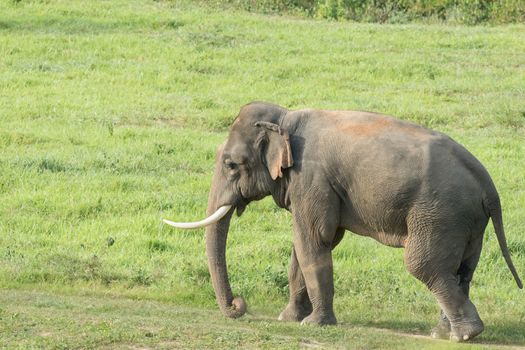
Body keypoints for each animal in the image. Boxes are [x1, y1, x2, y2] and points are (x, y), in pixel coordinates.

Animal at [163, 101, 520, 342]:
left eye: (231, 164)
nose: (238, 305)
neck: (284, 118)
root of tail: (487, 182)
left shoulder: (311, 179)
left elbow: (314, 240)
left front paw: (313, 324)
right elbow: (304, 247)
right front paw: (288, 318)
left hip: (439, 213)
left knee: (424, 265)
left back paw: (466, 335)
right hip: (467, 222)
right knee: (461, 270)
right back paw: (442, 334)